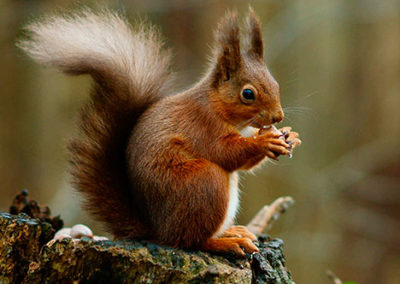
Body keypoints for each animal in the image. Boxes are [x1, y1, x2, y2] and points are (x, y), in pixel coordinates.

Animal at [18, 7, 300, 258]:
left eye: (275, 84)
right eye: (248, 93)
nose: (278, 117)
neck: (218, 108)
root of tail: (158, 231)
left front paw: (290, 136)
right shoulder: (202, 126)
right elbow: (226, 152)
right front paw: (265, 141)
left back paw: (231, 232)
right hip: (203, 183)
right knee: (190, 241)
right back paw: (225, 242)